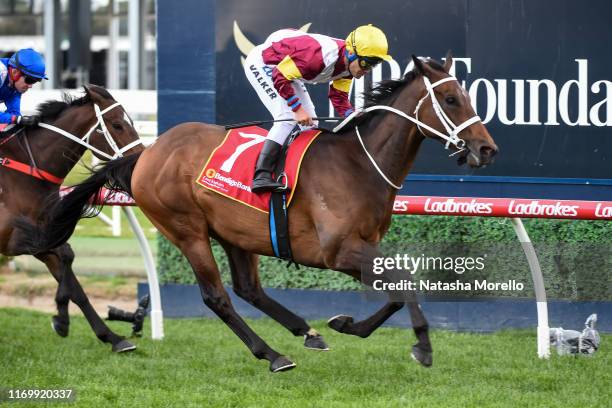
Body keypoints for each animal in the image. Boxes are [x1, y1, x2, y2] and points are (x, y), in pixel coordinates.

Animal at [2, 85, 143, 350]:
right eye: (117, 125)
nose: (138, 162)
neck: (26, 175)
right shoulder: (13, 240)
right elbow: (67, 254)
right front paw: (61, 316)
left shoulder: (45, 236)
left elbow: (74, 279)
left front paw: (111, 337)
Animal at [20, 55, 498, 372]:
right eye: (451, 98)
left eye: (468, 95)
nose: (486, 149)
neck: (359, 164)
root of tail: (148, 153)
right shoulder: (338, 251)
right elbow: (405, 285)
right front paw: (422, 347)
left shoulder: (365, 247)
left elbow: (400, 288)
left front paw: (346, 324)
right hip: (186, 229)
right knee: (217, 297)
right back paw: (272, 353)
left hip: (235, 232)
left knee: (248, 288)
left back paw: (306, 332)